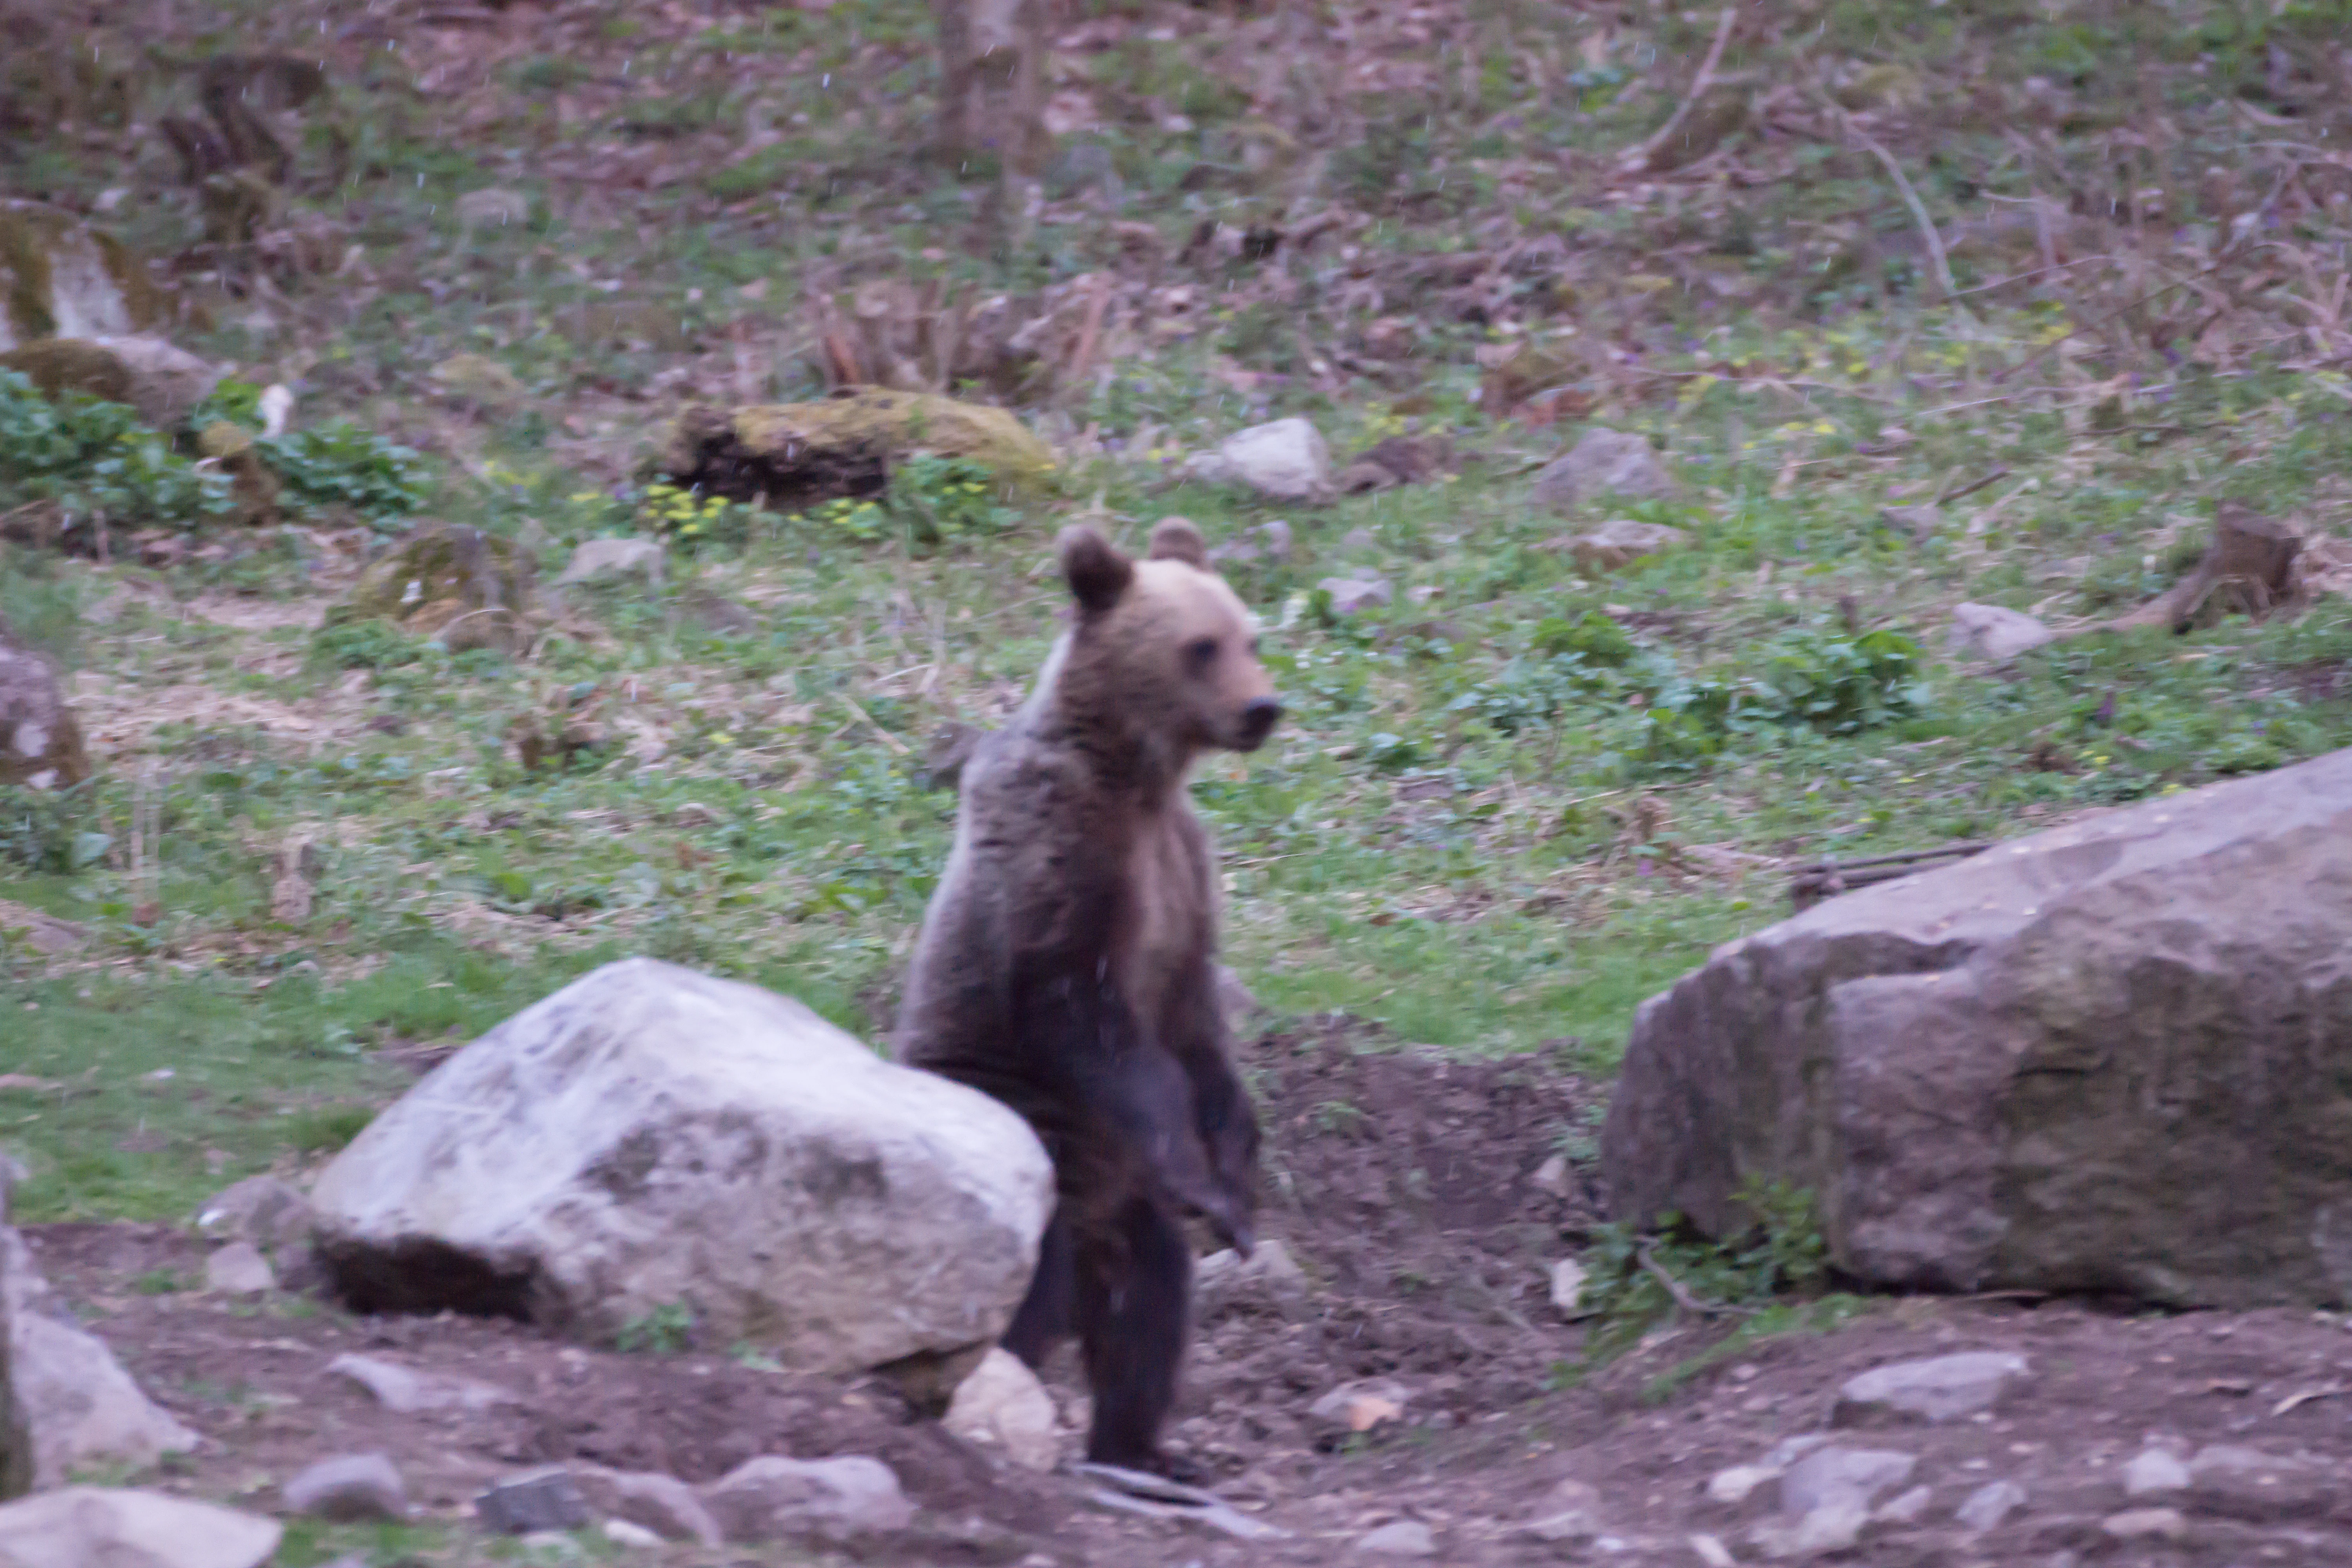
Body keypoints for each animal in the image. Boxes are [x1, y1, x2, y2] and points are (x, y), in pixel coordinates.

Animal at [894, 516, 1281, 1474]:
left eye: (1251, 636)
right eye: (1201, 646)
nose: (1264, 708)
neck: (1137, 776)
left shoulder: (1182, 871)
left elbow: (1198, 1029)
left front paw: (1238, 1174)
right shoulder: (1063, 858)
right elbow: (1089, 1018)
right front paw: (1207, 1181)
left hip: (1120, 1205)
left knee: (1148, 1304)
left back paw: (1144, 1450)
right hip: (1032, 1149)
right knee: (1023, 1302)